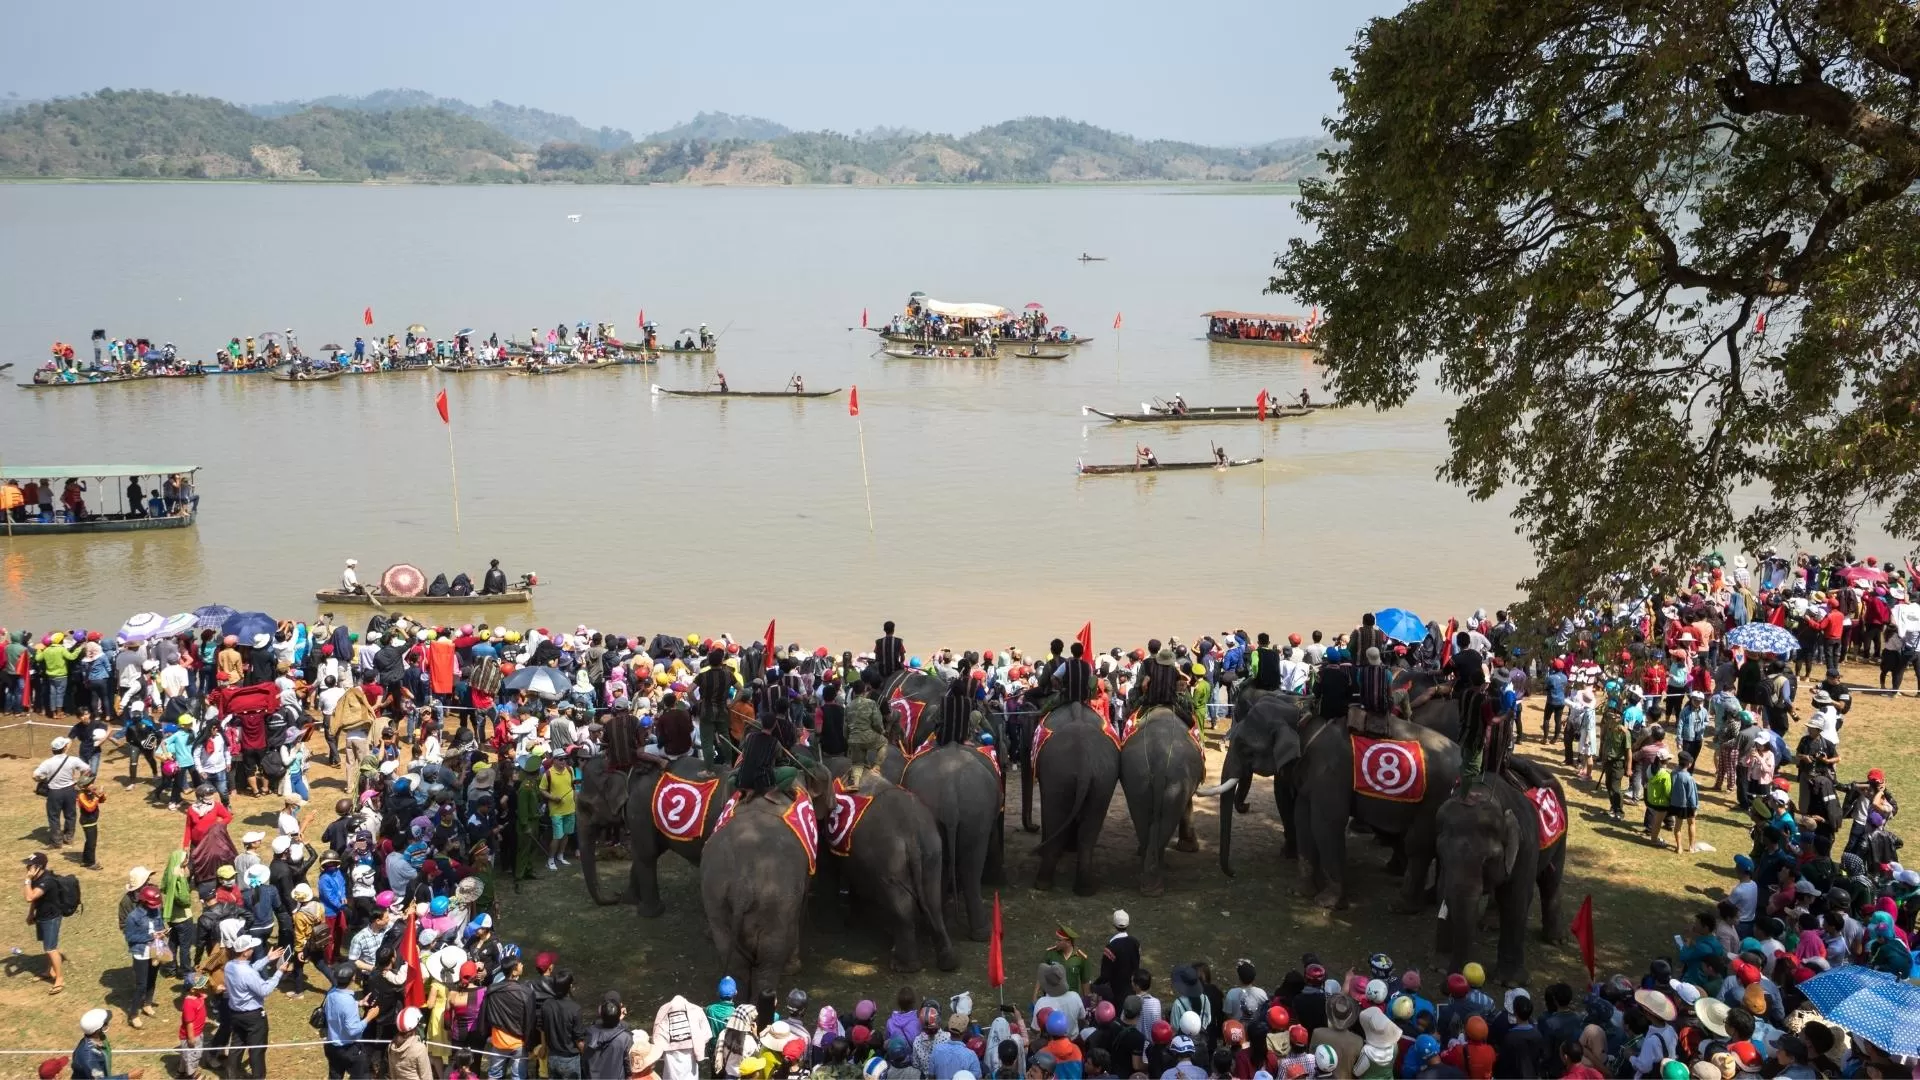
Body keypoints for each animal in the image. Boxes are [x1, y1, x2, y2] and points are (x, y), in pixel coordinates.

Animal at [895, 742, 1006, 939]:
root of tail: (949, 792)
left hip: (958, 811)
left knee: (943, 865)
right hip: (976, 811)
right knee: (972, 866)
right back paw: (983, 932)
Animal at [1022, 702, 1122, 894]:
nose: (1034, 827)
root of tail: (1084, 763)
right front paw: (1070, 849)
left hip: (1058, 774)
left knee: (1055, 817)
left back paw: (1042, 884)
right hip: (1104, 777)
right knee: (1089, 832)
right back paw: (1085, 889)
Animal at [1116, 707, 1205, 894]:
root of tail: (1159, 758)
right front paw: (1190, 848)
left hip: (1137, 777)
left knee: (1141, 819)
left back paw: (1147, 879)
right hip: (1177, 780)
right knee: (1167, 822)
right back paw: (1156, 883)